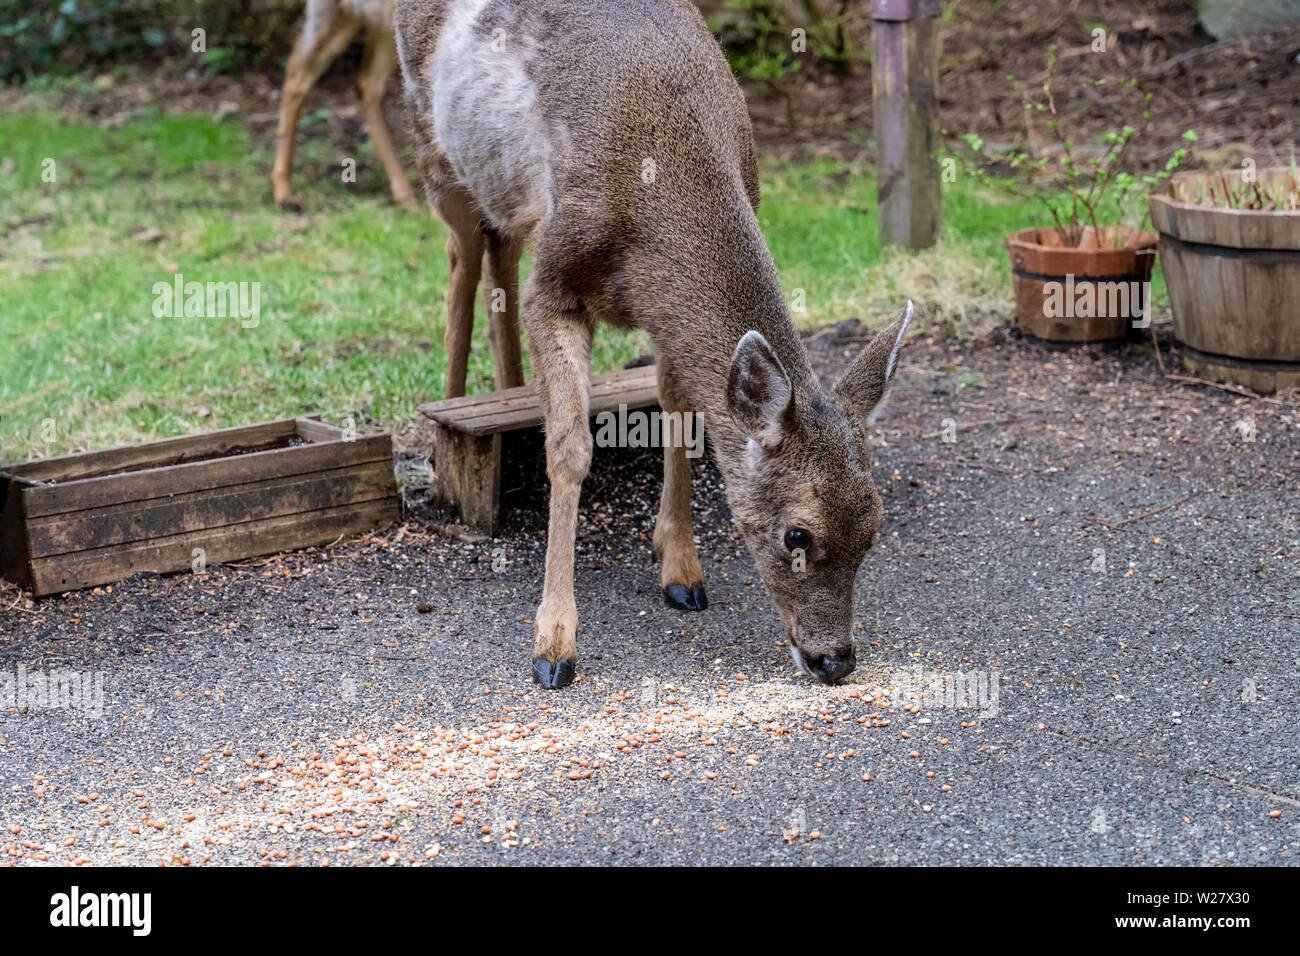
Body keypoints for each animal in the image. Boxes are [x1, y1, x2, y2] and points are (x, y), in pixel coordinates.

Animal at [395, 0, 915, 686]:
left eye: (874, 527)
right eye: (797, 535)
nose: (835, 659)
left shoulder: (663, 312)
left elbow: (681, 406)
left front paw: (682, 570)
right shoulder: (555, 281)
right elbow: (569, 448)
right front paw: (554, 645)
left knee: (497, 245)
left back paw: (508, 386)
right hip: (430, 135)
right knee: (462, 249)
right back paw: (451, 404)